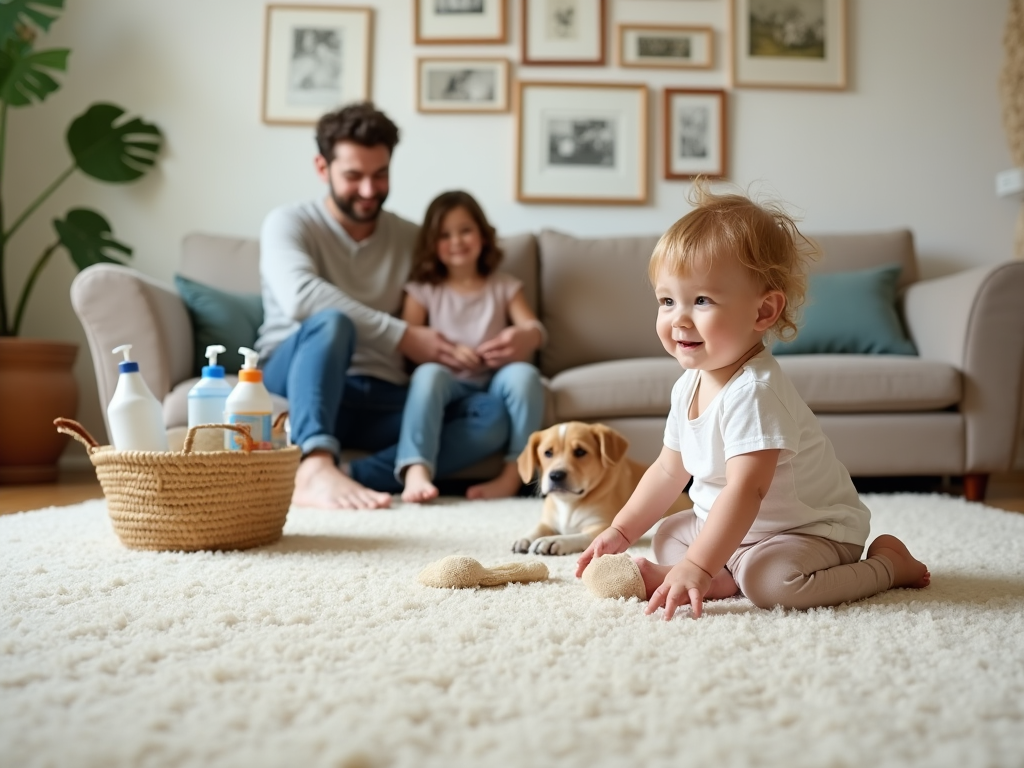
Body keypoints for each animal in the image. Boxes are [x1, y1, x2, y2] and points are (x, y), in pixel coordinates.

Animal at [516, 423, 651, 557]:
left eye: (580, 451)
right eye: (548, 453)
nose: (556, 475)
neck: (568, 505)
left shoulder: (601, 526)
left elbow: (578, 537)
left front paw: (553, 540)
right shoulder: (548, 522)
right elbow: (538, 529)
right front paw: (526, 538)